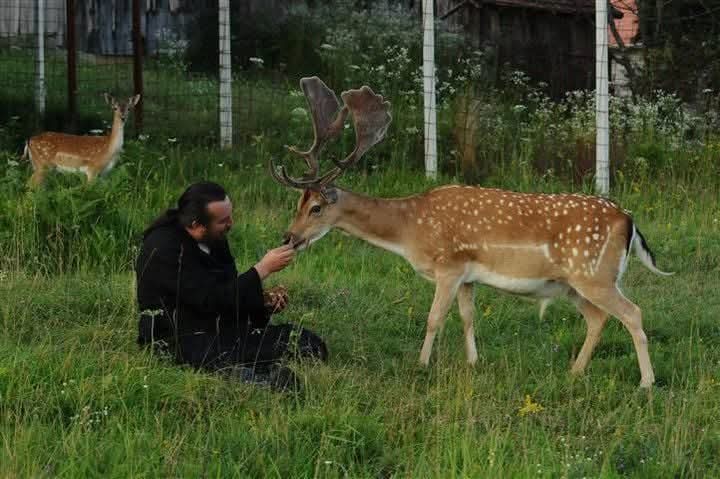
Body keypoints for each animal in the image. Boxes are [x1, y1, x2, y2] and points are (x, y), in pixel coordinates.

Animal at [270, 77, 673, 388]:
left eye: (316, 207)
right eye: (297, 203)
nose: (289, 238)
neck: (411, 229)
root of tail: (628, 220)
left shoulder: (448, 266)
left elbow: (434, 318)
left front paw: (421, 365)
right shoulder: (467, 275)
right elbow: (467, 317)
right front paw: (473, 362)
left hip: (594, 274)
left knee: (633, 313)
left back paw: (646, 382)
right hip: (573, 284)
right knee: (598, 318)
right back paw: (575, 371)